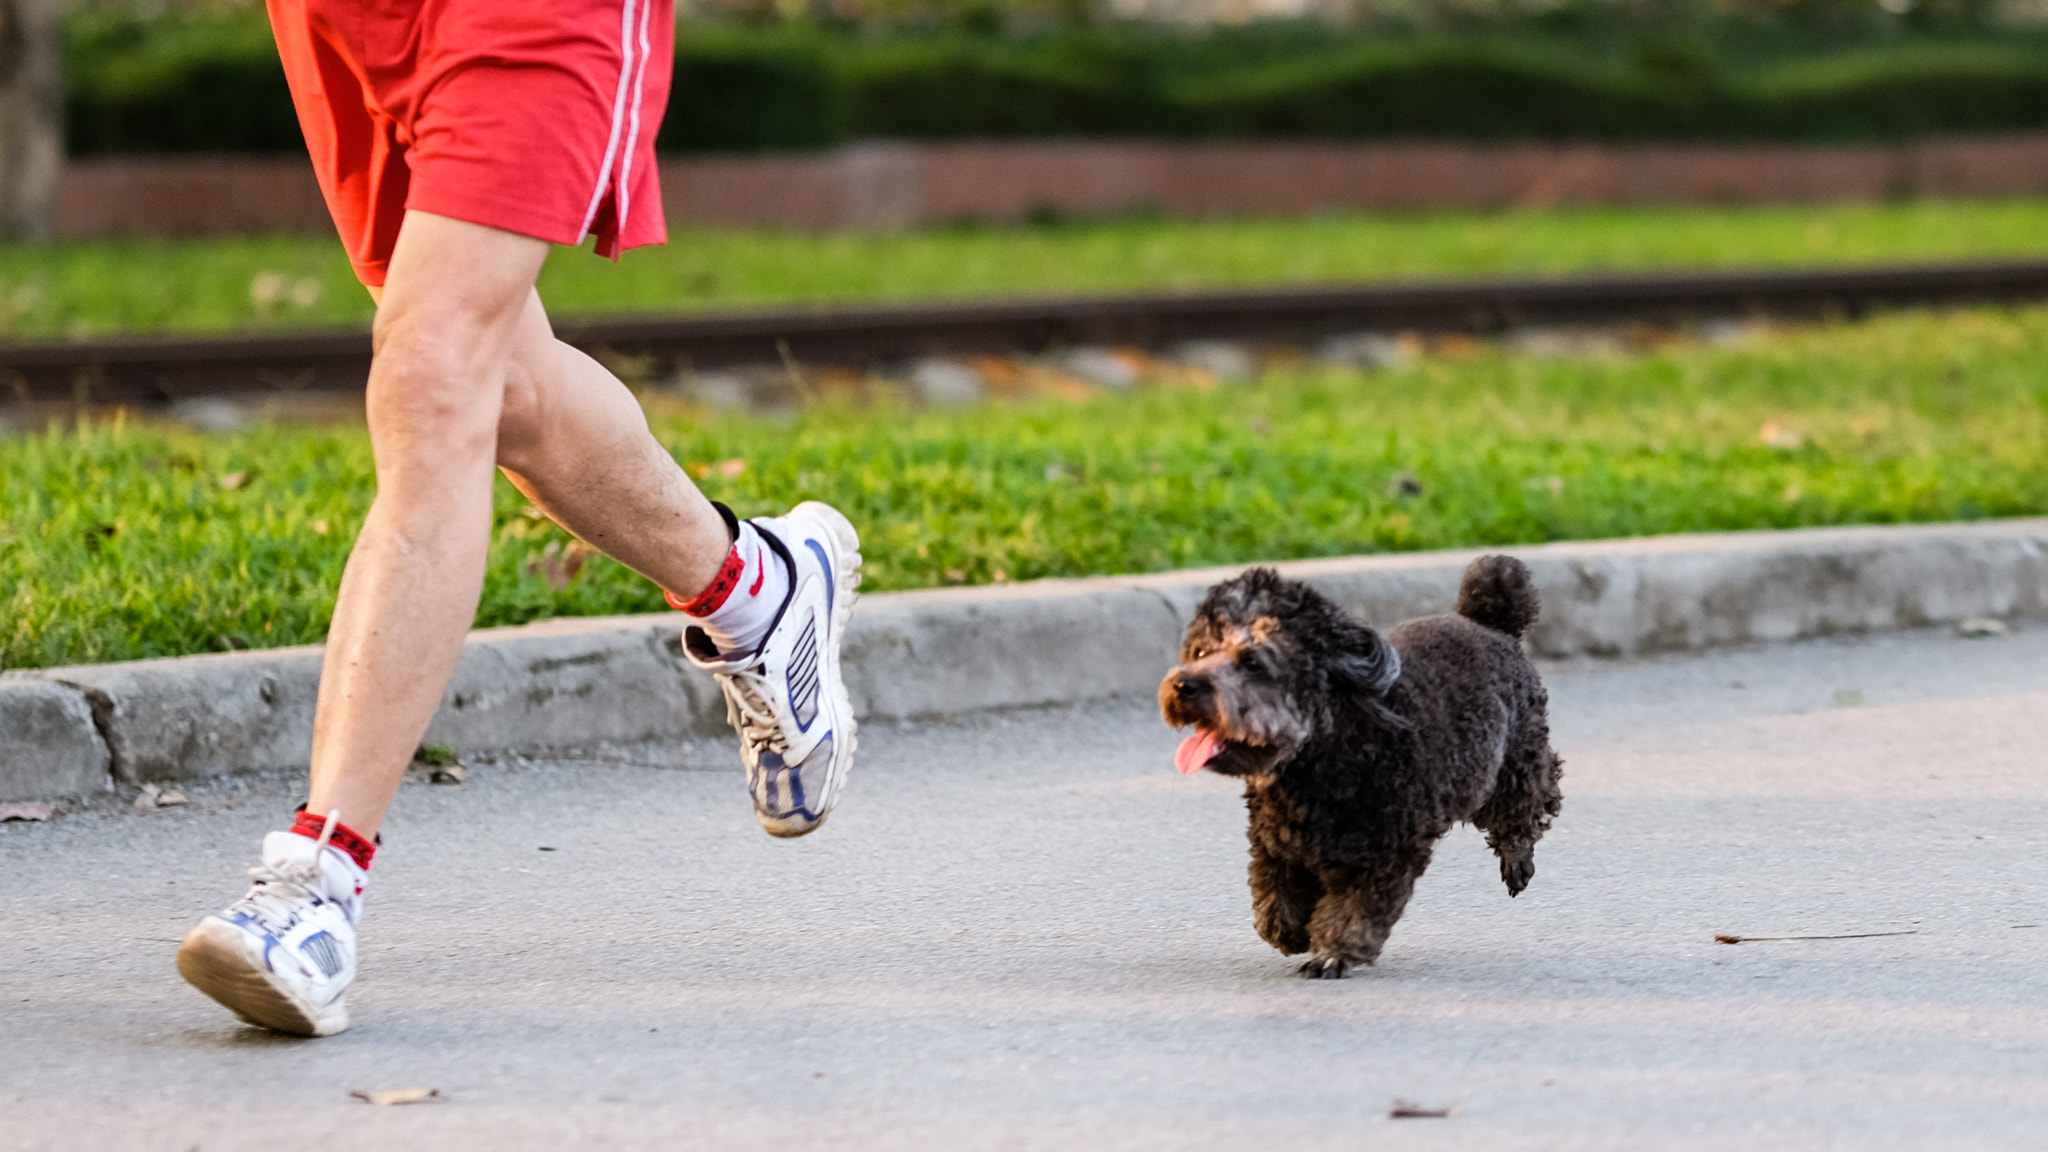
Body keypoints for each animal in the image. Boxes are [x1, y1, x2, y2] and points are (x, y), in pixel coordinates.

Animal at [1163, 557, 1556, 975]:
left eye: (1252, 662)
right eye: (1200, 652)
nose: (1183, 686)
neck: (1321, 757)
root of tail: (1486, 623)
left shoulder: (1385, 854)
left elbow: (1354, 910)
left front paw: (1334, 953)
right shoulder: (1274, 841)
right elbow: (1275, 899)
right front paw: (1291, 930)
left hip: (1516, 763)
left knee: (1531, 800)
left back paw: (1518, 857)